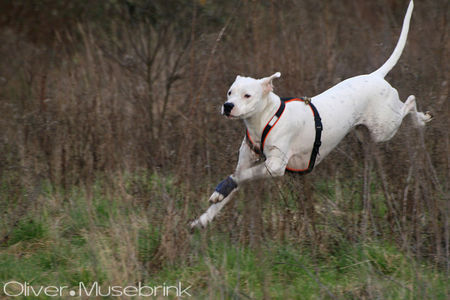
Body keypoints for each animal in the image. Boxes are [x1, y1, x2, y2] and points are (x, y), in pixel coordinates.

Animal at [189, 0, 428, 230]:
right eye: (230, 92)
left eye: (247, 95)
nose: (228, 106)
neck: (265, 120)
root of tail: (375, 75)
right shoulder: (247, 162)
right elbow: (231, 188)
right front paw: (204, 218)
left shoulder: (275, 166)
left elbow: (239, 177)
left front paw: (223, 187)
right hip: (366, 133)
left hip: (384, 127)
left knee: (410, 101)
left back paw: (421, 120)